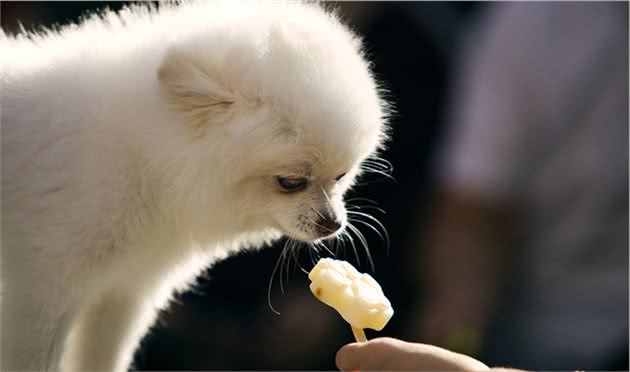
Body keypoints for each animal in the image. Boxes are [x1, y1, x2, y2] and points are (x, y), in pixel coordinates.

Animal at [1, 1, 390, 370]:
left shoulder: (122, 292)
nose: (333, 223)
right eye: (290, 182)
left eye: (340, 177)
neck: (144, 159)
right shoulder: (43, 290)